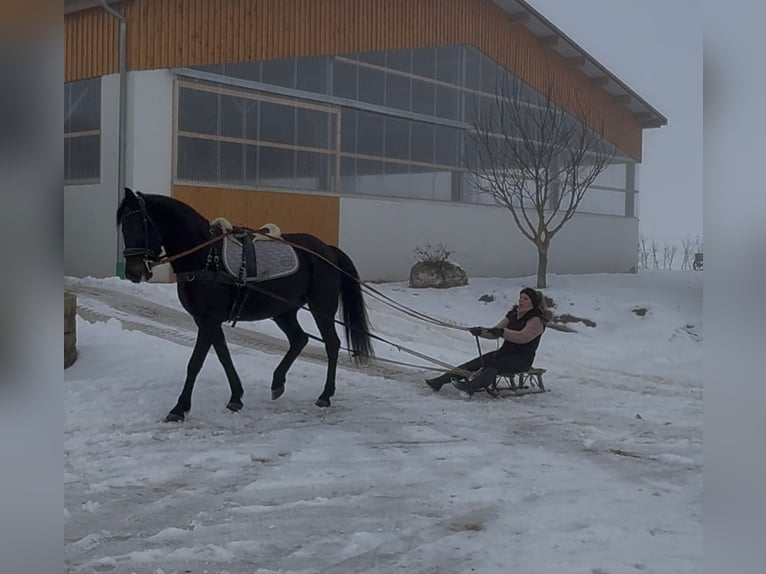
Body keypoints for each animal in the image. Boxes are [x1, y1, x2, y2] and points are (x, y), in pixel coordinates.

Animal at [116, 187, 374, 422]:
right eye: (123, 227)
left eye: (139, 225)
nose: (133, 272)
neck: (207, 258)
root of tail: (327, 250)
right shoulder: (206, 320)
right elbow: (223, 354)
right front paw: (236, 397)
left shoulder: (209, 319)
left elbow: (195, 362)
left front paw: (179, 409)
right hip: (284, 310)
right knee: (299, 339)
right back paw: (277, 382)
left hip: (321, 308)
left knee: (331, 344)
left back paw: (325, 395)